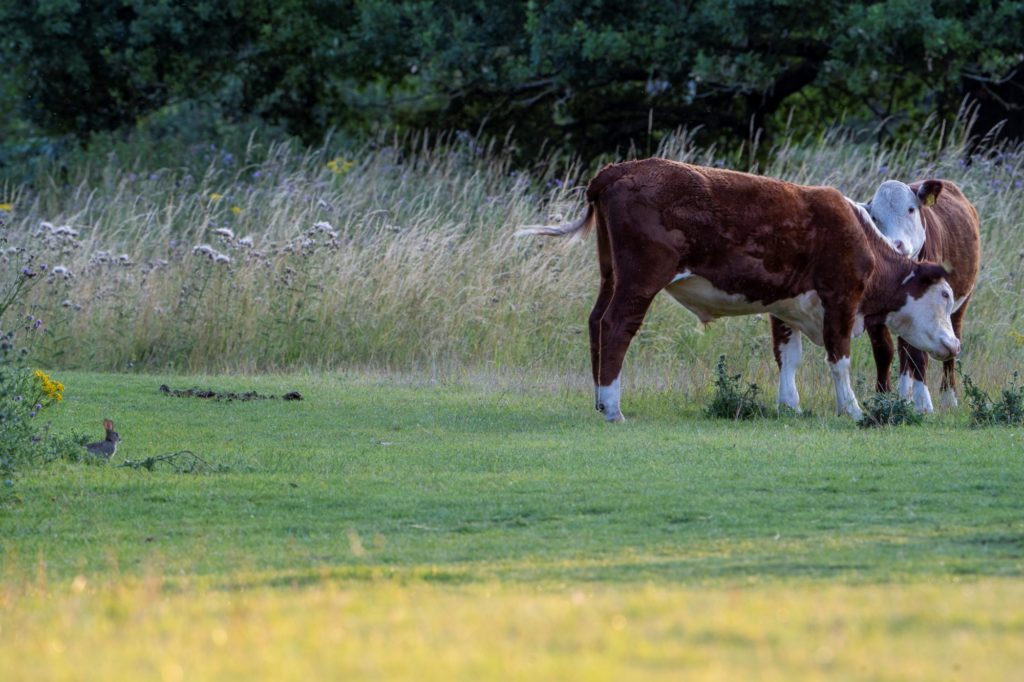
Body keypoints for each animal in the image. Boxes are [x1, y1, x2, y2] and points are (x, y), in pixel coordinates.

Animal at [520, 159, 958, 421]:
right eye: (945, 296)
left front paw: (790, 406)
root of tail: (618, 170)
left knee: (596, 320)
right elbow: (840, 360)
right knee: (615, 325)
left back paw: (599, 399)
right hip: (639, 279)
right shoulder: (841, 298)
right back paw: (612, 406)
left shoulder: (787, 303)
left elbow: (790, 356)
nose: (955, 344)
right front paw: (852, 410)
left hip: (610, 273)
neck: (860, 235)